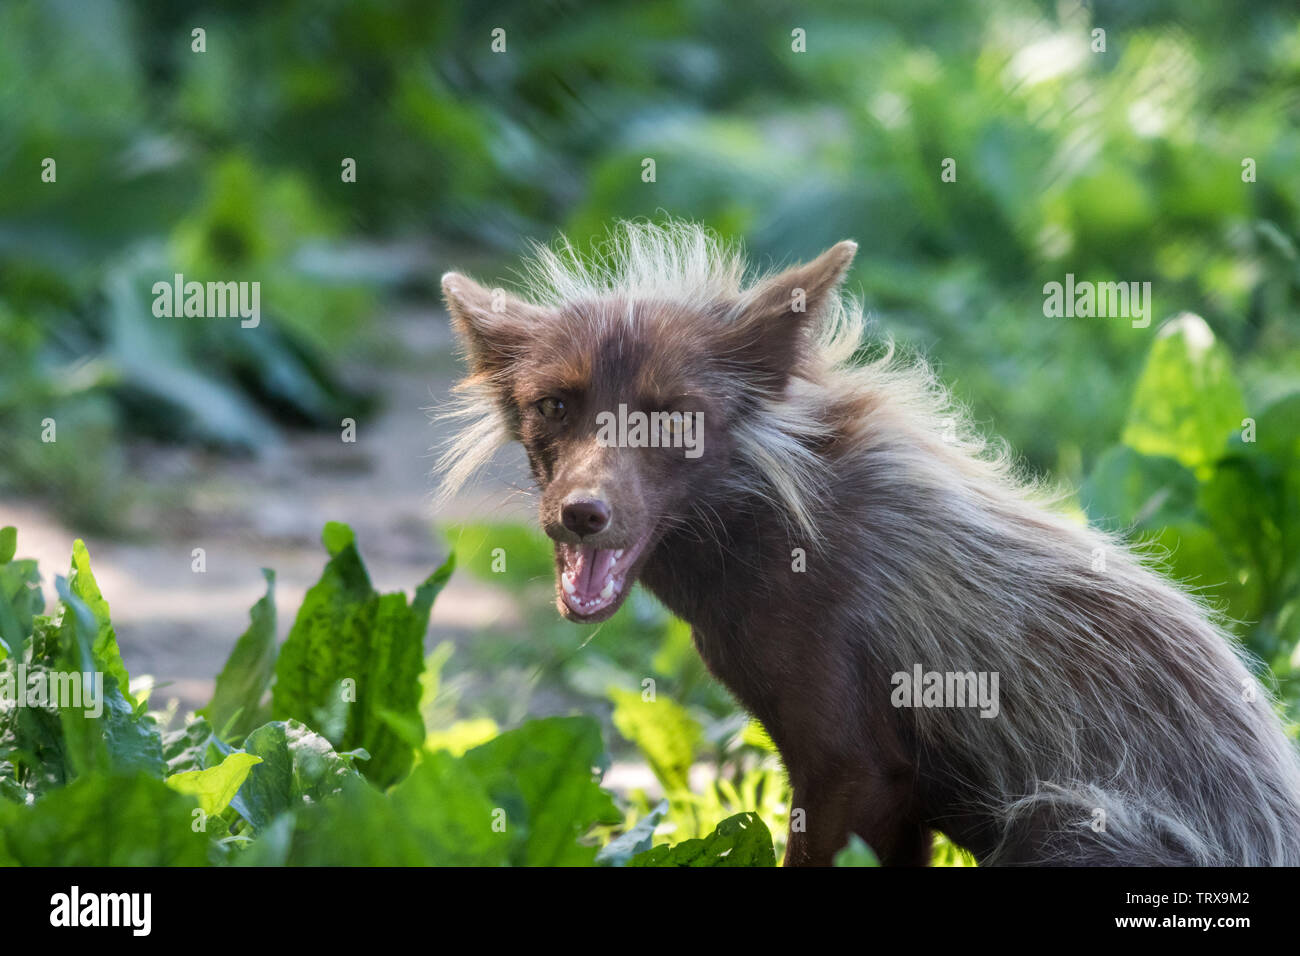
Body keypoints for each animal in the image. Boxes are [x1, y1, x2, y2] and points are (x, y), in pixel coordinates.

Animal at [438, 220, 1300, 866]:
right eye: (553, 405)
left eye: (673, 417)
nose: (580, 513)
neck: (777, 532)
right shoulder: (884, 797)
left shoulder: (855, 774)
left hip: (1060, 824)